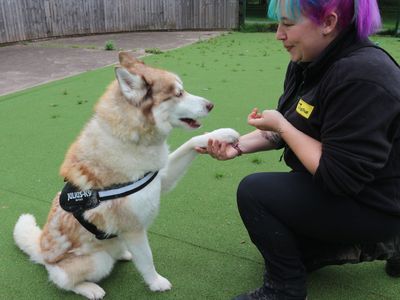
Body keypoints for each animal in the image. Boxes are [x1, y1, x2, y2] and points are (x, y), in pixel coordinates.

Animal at [13, 52, 238, 300]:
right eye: (178, 93)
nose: (211, 105)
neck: (130, 140)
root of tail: (42, 250)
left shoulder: (161, 178)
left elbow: (192, 141)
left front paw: (223, 134)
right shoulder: (134, 229)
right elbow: (147, 259)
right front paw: (156, 283)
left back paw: (122, 254)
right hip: (96, 261)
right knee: (60, 279)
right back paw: (90, 288)